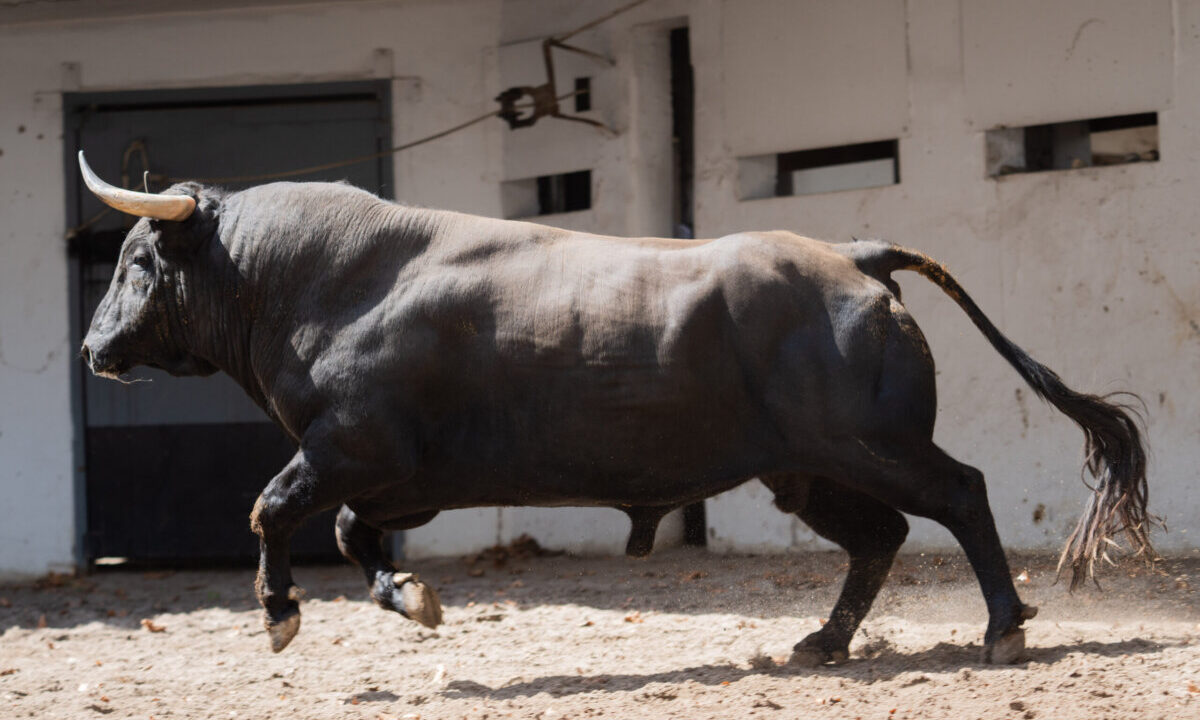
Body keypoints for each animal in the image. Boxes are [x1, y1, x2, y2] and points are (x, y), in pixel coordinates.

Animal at [77, 151, 1152, 666]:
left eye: (135, 263)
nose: (91, 350)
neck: (325, 280)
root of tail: (851, 256)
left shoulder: (349, 448)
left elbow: (270, 509)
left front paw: (279, 615)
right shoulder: (393, 475)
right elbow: (349, 533)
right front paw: (412, 598)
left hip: (872, 444)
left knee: (960, 495)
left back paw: (1004, 629)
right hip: (806, 470)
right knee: (879, 536)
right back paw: (823, 643)